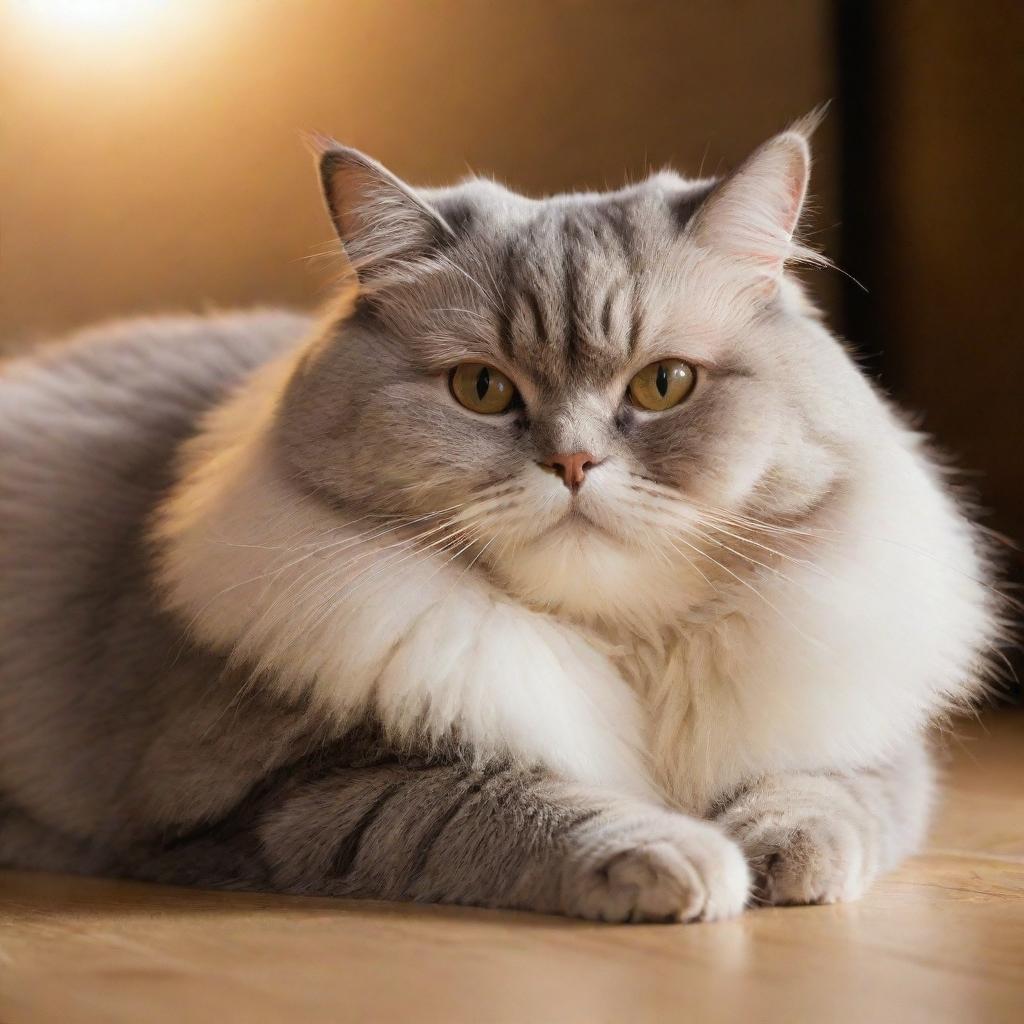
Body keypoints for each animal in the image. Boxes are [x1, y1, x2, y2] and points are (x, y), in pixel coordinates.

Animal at [0, 123, 995, 925]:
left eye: (663, 385)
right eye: (481, 390)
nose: (573, 464)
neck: (624, 651)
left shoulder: (860, 726)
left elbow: (823, 794)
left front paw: (782, 857)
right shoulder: (291, 796)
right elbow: (515, 807)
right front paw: (682, 860)